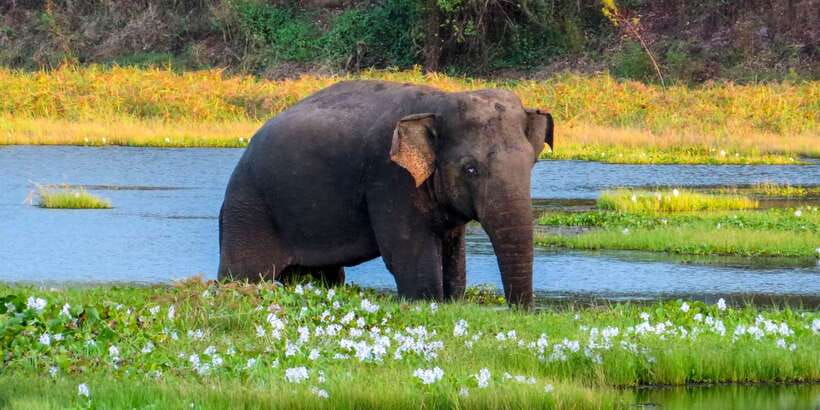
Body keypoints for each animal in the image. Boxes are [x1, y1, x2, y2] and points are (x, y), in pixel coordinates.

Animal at [218, 80, 553, 307]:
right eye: (470, 169)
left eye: (532, 163)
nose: (520, 312)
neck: (438, 101)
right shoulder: (389, 179)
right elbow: (407, 255)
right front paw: (428, 302)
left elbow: (453, 256)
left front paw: (451, 301)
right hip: (249, 209)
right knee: (244, 272)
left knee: (324, 276)